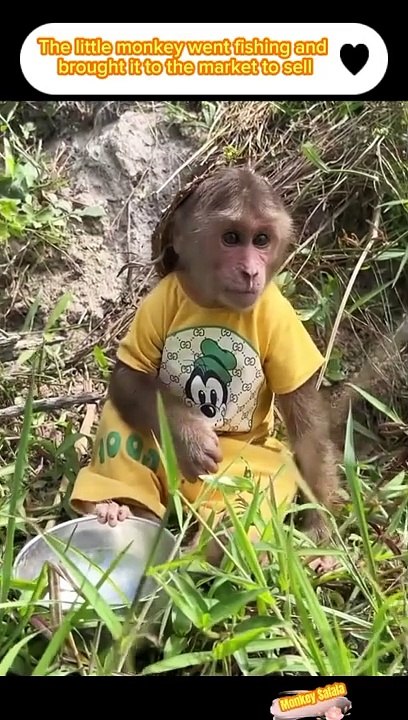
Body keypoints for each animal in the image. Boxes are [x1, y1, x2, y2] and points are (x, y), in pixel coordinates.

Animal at [70, 166, 340, 572]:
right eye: (231, 238)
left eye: (261, 240)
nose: (251, 271)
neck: (214, 303)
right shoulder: (156, 300)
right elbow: (127, 378)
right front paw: (191, 436)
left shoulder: (281, 319)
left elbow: (308, 431)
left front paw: (321, 533)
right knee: (122, 420)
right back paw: (115, 507)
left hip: (244, 472)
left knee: (251, 499)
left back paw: (219, 543)